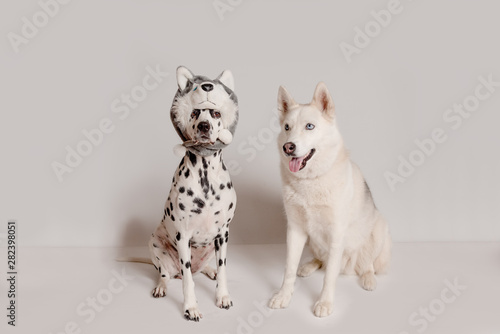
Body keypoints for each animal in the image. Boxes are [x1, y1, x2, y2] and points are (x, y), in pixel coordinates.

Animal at [146, 67, 238, 320]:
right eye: (195, 112)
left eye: (215, 113)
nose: (205, 126)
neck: (206, 177)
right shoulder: (183, 237)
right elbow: (188, 280)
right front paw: (191, 307)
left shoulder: (223, 234)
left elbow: (224, 269)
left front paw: (222, 296)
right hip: (155, 246)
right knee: (166, 274)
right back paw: (161, 286)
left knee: (204, 269)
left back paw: (210, 271)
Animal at [270, 82, 390, 318]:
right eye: (287, 127)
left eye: (309, 126)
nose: (288, 147)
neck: (310, 181)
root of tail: (349, 267)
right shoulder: (295, 230)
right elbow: (289, 269)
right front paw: (284, 296)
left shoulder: (336, 234)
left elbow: (329, 278)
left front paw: (324, 303)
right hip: (313, 242)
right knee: (322, 262)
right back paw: (308, 266)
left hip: (380, 230)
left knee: (366, 264)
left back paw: (368, 278)